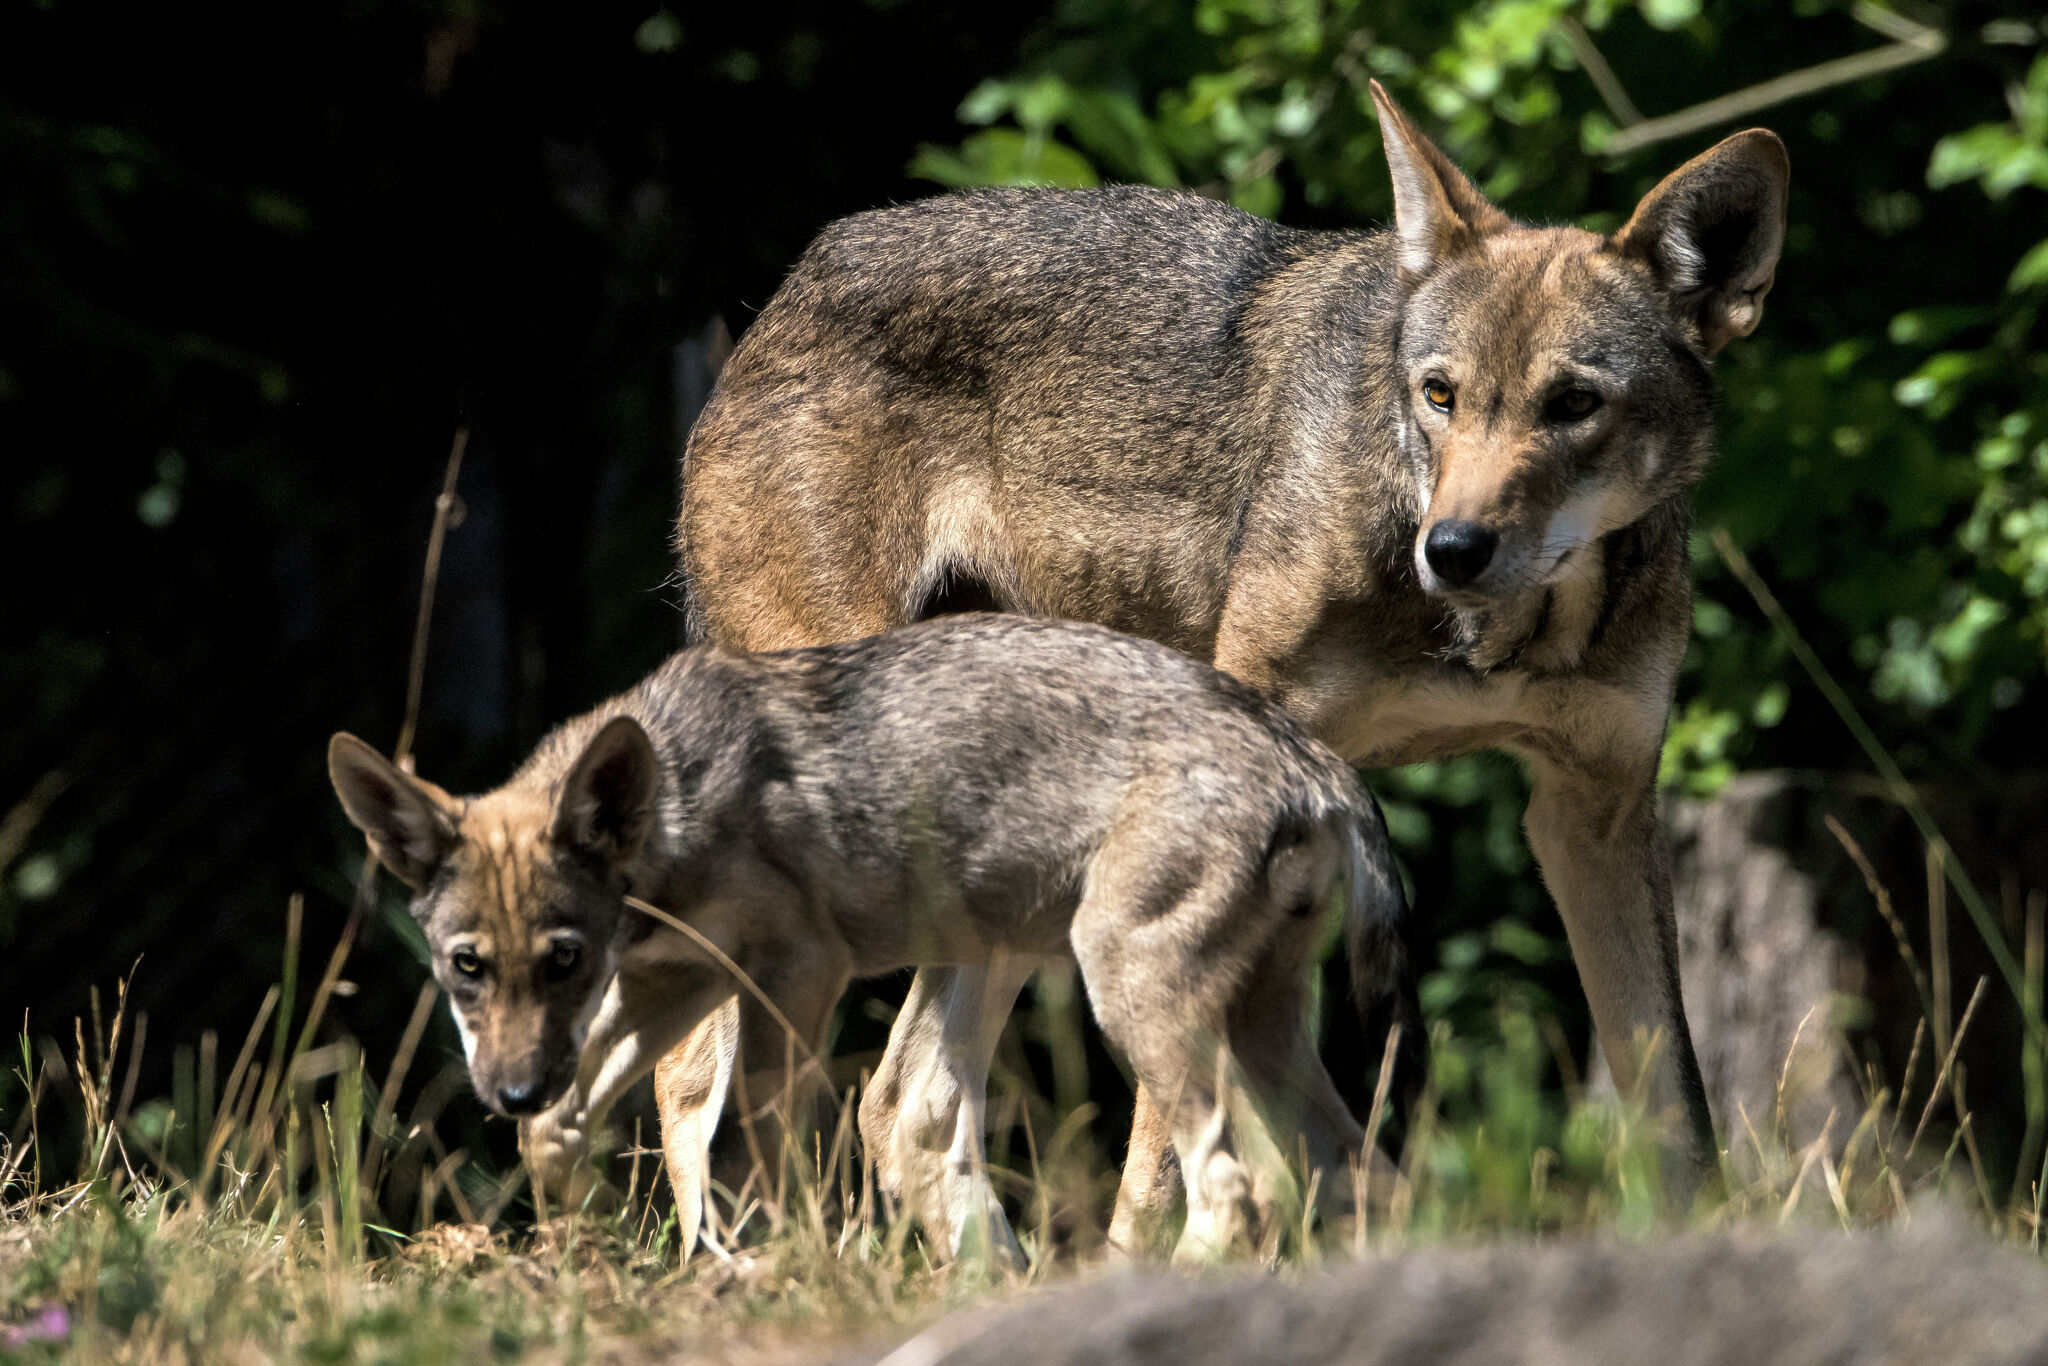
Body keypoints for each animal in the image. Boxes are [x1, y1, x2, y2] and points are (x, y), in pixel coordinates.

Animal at [651, 82, 1777, 1261]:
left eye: (1573, 404)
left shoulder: (1593, 813)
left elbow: (1677, 1100)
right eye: (1439, 396)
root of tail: (797, 278)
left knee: (903, 1098)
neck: (1491, 634)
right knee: (698, 1066)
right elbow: (1165, 1154)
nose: (1453, 547)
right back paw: (737, 1267)